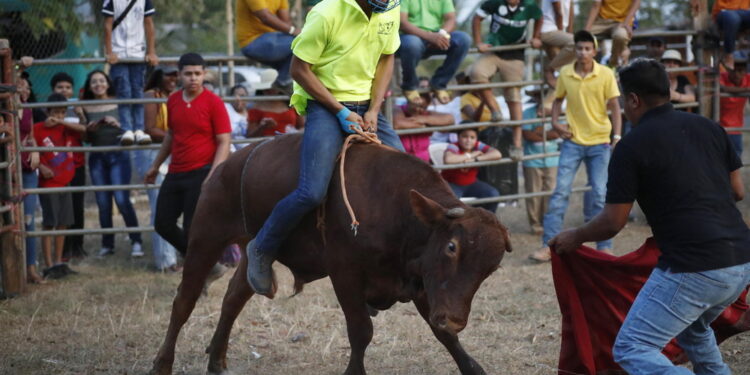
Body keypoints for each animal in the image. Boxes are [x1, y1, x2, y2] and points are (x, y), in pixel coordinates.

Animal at [150, 134, 516, 374]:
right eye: (452, 247)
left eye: (491, 268)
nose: (455, 319)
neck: (396, 209)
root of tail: (230, 163)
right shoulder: (346, 274)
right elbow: (361, 331)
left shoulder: (422, 280)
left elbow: (443, 336)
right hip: (206, 235)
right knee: (184, 302)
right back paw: (162, 363)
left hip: (253, 249)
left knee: (233, 298)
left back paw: (217, 360)